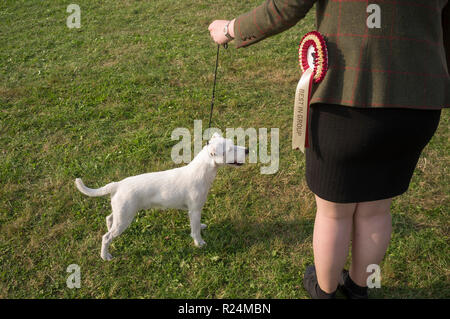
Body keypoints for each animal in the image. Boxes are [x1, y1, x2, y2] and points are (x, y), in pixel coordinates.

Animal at [75, 134, 248, 262]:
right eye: (230, 149)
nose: (246, 150)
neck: (202, 171)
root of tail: (116, 185)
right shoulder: (194, 210)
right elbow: (195, 229)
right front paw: (199, 243)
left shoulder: (195, 211)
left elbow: (197, 225)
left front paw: (202, 226)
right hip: (125, 217)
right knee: (106, 237)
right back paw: (105, 256)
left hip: (121, 212)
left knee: (109, 218)